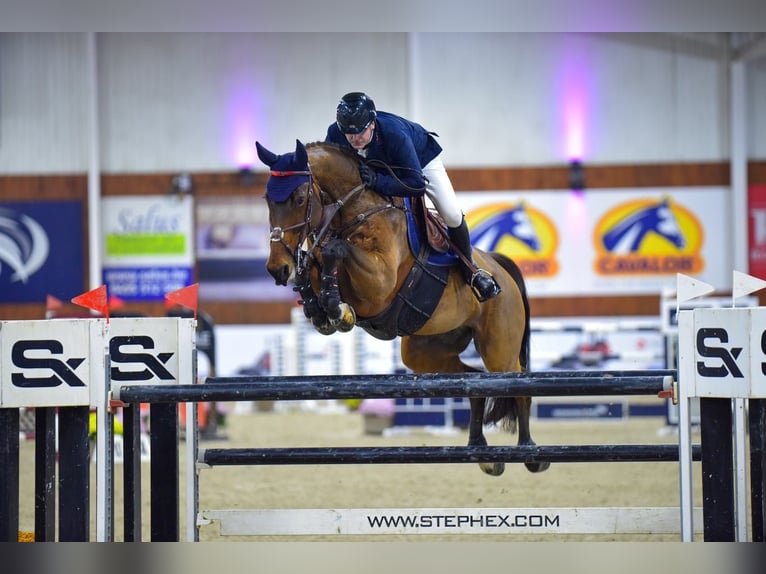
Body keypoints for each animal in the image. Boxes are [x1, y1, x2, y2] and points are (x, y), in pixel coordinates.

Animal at [258, 140, 552, 476]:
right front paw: (320, 307)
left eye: (299, 198)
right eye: (267, 199)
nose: (276, 268)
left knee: (518, 384)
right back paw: (481, 451)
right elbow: (315, 262)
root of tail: (499, 266)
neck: (357, 210)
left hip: (499, 349)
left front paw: (336, 309)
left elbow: (334, 250)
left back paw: (531, 452)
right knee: (474, 382)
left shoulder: (378, 284)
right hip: (425, 351)